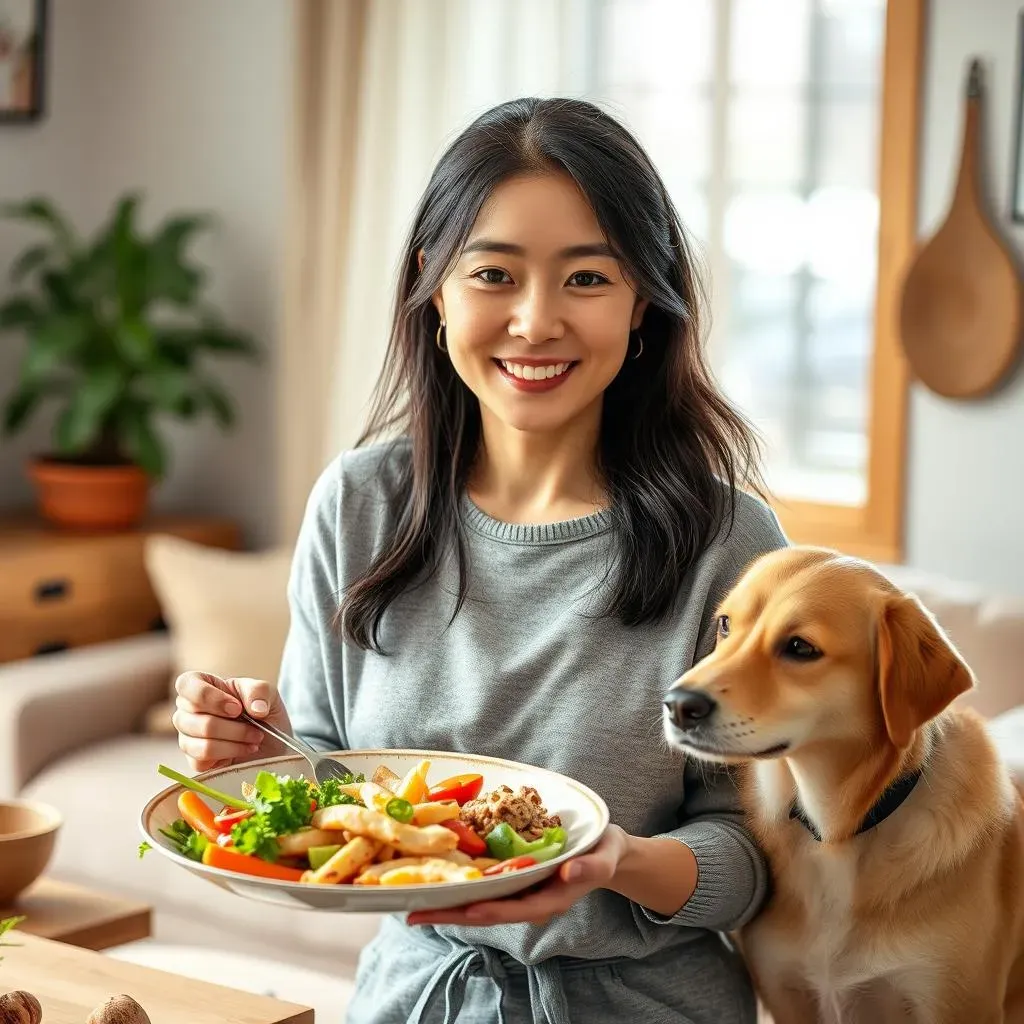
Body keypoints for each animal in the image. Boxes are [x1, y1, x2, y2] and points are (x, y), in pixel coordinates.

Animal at [663, 548, 1024, 1019]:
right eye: (725, 624)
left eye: (800, 647)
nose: (676, 706)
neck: (836, 836)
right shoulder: (787, 994)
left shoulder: (952, 1002)